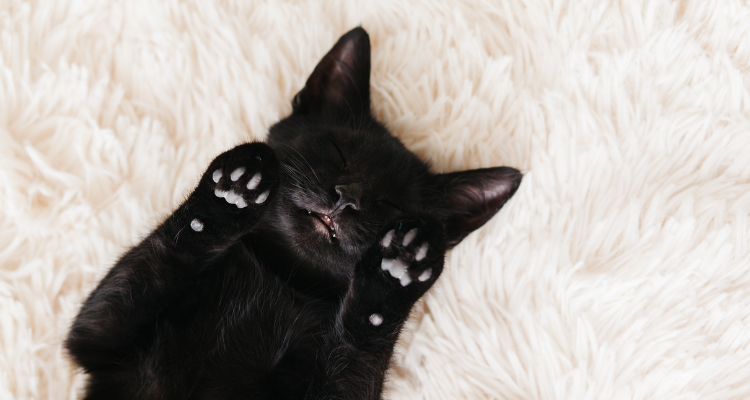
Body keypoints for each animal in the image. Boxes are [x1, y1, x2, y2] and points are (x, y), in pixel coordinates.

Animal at [64, 26, 524, 398]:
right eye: (337, 152)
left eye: (391, 204)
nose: (346, 198)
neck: (283, 279)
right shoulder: (99, 342)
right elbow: (162, 252)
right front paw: (233, 190)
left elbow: (361, 346)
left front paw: (399, 268)